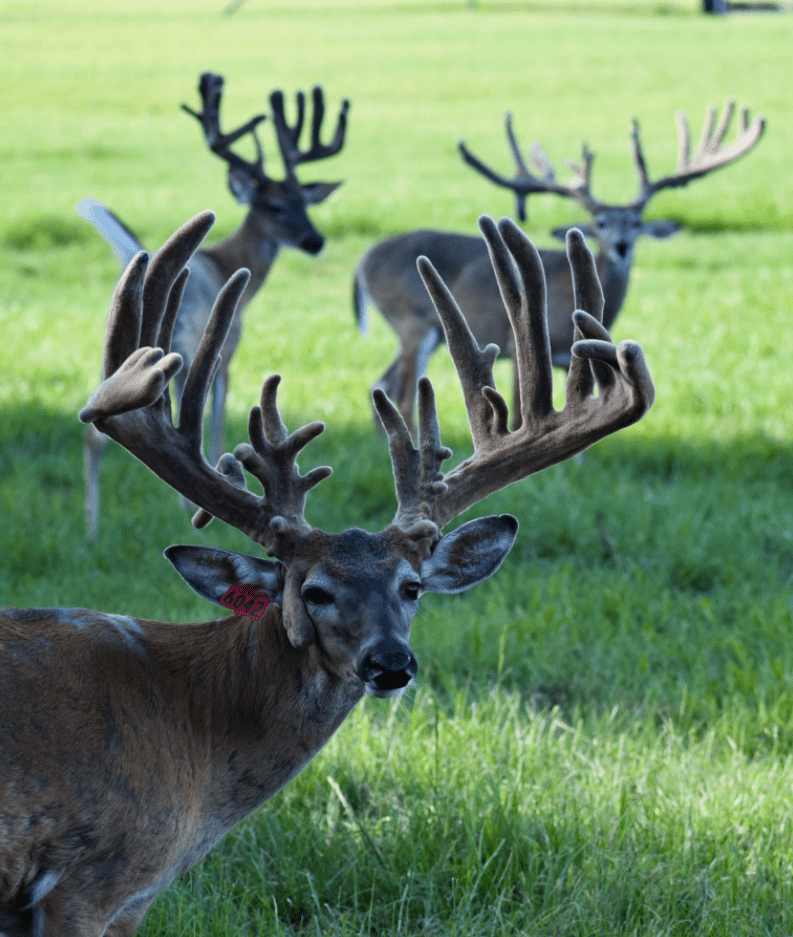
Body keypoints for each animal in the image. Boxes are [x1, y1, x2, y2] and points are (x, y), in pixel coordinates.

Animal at [78, 71, 349, 540]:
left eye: (305, 201)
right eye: (275, 206)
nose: (315, 241)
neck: (228, 264)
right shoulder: (229, 347)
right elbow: (220, 421)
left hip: (114, 357)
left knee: (94, 431)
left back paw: (92, 529)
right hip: (181, 346)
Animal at [354, 99, 763, 435]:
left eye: (636, 222)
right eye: (600, 223)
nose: (622, 246)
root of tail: (362, 262)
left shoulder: (577, 358)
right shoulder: (517, 345)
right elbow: (521, 414)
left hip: (429, 332)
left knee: (382, 387)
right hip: (413, 321)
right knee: (402, 396)